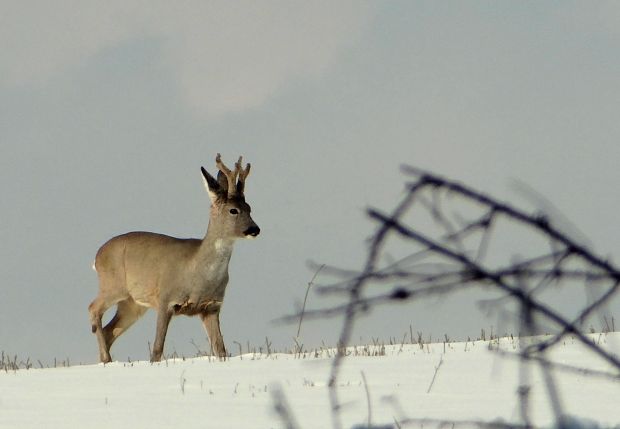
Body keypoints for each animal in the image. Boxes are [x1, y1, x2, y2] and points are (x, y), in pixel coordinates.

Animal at [88, 154, 260, 362]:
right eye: (233, 210)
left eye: (249, 208)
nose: (254, 229)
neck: (197, 272)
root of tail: (97, 256)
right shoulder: (165, 299)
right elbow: (157, 348)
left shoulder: (211, 307)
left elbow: (220, 349)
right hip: (113, 285)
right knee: (93, 308)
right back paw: (106, 358)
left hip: (132, 304)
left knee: (109, 330)